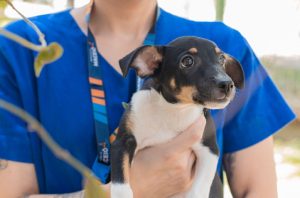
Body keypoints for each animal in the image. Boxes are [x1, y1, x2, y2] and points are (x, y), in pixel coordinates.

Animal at [110, 36, 244, 198]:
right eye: (187, 61)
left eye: (221, 59)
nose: (227, 84)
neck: (175, 109)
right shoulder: (123, 142)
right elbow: (120, 182)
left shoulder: (209, 149)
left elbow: (199, 188)